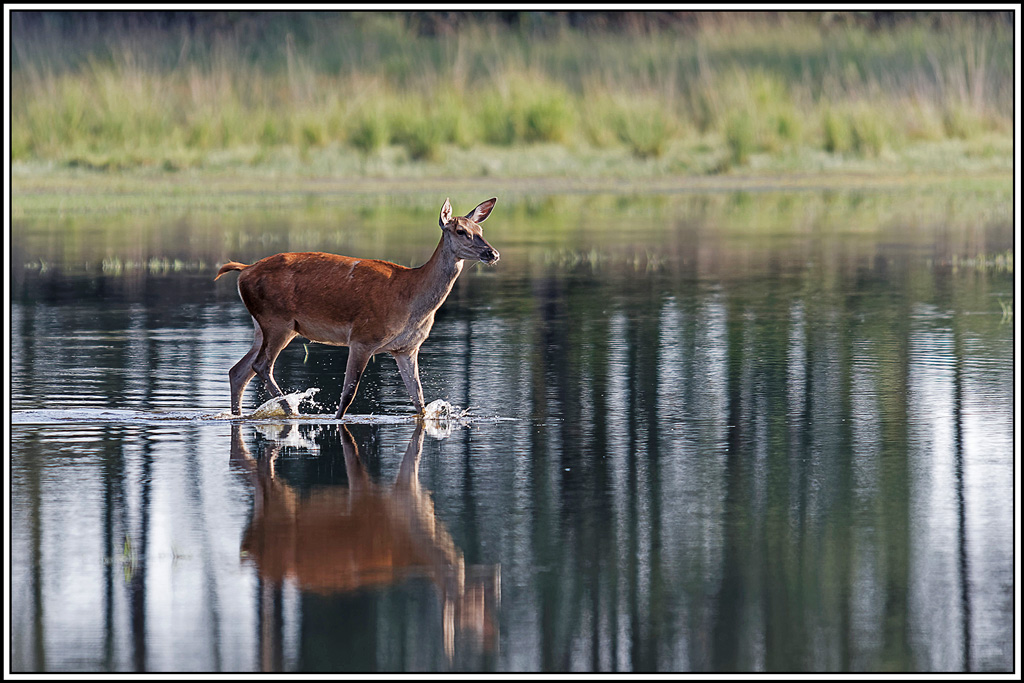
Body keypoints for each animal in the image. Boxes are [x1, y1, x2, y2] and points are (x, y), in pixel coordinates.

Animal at [215, 197, 499, 418]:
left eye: (481, 230)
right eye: (460, 231)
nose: (492, 254)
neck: (410, 298)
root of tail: (244, 270)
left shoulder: (407, 348)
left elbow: (419, 401)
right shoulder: (363, 337)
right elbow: (348, 395)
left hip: (263, 326)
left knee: (237, 371)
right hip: (278, 322)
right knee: (260, 365)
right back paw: (291, 411)